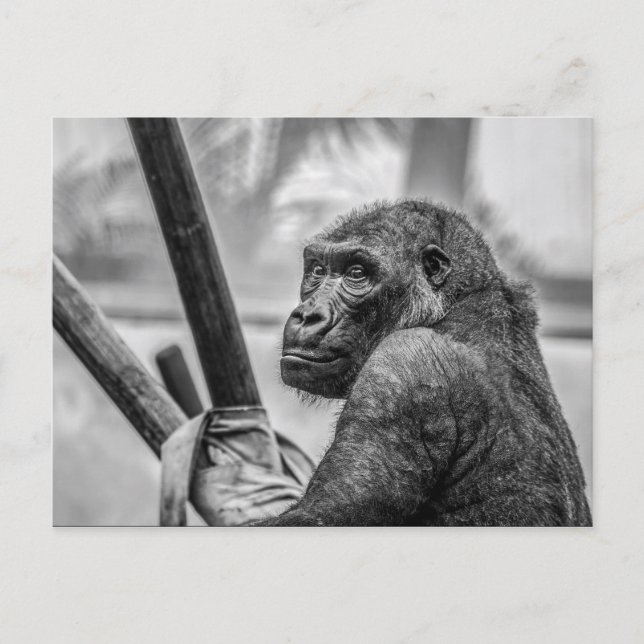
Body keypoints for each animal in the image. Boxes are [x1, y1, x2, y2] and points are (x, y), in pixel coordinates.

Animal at [255, 199, 591, 526]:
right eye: (317, 270)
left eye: (357, 273)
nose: (307, 315)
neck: (452, 304)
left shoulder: (399, 371)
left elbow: (324, 513)